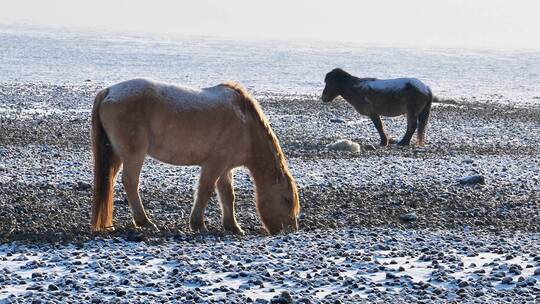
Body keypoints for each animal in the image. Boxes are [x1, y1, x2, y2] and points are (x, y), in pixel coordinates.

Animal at [92, 78, 300, 235]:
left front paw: (233, 226)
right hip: (134, 153)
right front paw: (198, 224)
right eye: (287, 199)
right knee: (130, 182)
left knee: (111, 180)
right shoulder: (214, 164)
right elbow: (205, 190)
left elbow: (227, 195)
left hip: (117, 154)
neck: (245, 123)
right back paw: (145, 221)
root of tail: (109, 91)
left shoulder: (225, 168)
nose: (290, 230)